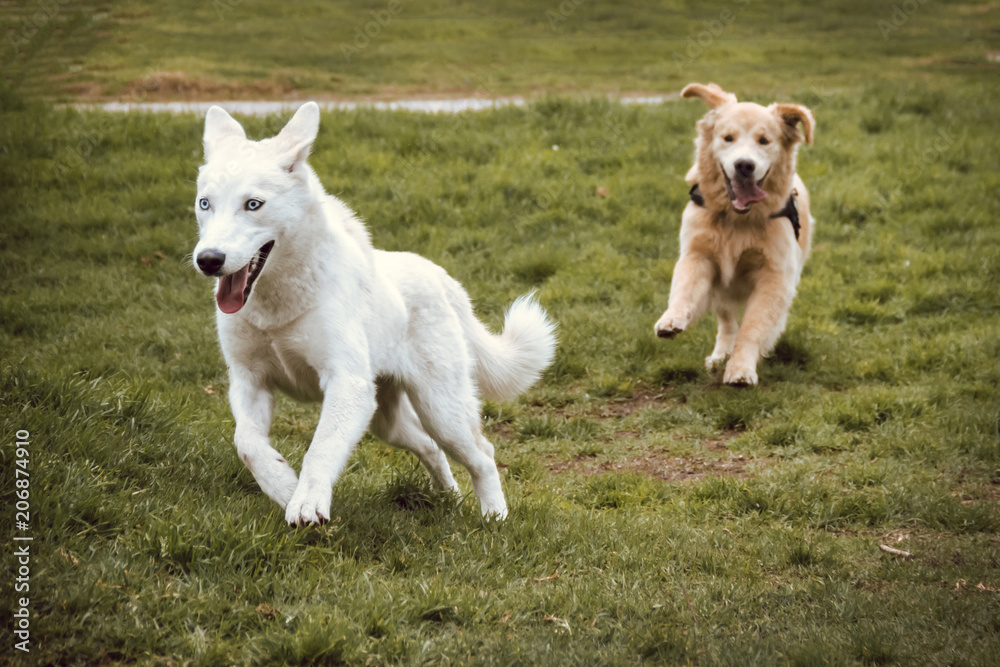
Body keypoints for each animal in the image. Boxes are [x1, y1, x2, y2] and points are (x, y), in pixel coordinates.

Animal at [191, 102, 560, 524]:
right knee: (430, 447)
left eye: (253, 204)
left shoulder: (346, 385)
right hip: (386, 420)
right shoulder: (248, 380)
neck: (276, 302)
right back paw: (449, 498)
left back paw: (493, 517)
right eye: (205, 204)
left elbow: (319, 449)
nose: (208, 260)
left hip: (440, 410)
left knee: (482, 455)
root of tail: (440, 276)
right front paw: (285, 487)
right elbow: (248, 445)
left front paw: (307, 503)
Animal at [656, 83, 812, 386]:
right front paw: (671, 319)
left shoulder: (774, 277)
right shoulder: (698, 255)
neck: (738, 220)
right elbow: (683, 289)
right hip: (722, 288)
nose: (744, 165)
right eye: (728, 138)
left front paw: (741, 368)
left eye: (764, 141)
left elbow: (753, 327)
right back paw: (720, 354)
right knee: (727, 321)